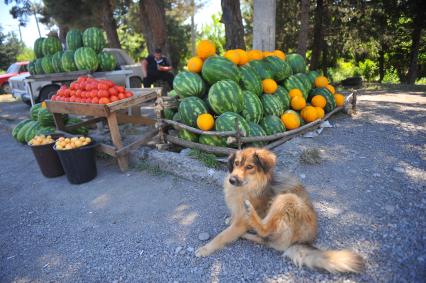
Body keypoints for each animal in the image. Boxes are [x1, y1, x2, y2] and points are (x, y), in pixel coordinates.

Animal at [195, 148, 364, 274]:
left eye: (249, 167)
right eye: (236, 164)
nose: (232, 180)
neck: (250, 186)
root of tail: (303, 241)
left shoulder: (241, 223)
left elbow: (221, 236)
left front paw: (205, 249)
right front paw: (230, 219)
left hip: (287, 199)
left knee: (265, 231)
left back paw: (250, 215)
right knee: (267, 240)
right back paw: (247, 235)